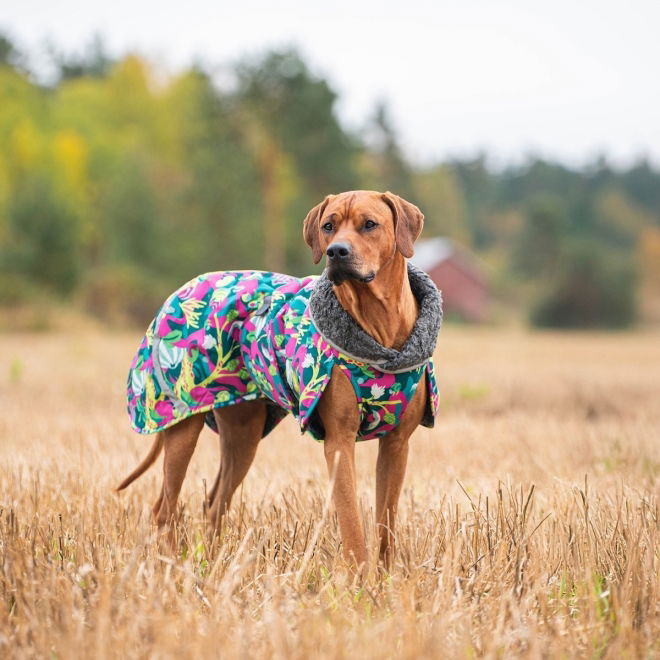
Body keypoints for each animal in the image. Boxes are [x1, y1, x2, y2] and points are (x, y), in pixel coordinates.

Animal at [116, 191, 440, 568]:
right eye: (328, 226)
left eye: (370, 224)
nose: (337, 252)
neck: (380, 328)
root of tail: (181, 290)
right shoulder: (339, 441)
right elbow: (351, 522)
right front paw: (361, 578)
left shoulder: (397, 444)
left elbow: (385, 523)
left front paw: (387, 577)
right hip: (184, 421)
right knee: (164, 509)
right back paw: (171, 566)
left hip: (243, 433)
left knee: (214, 503)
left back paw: (212, 563)